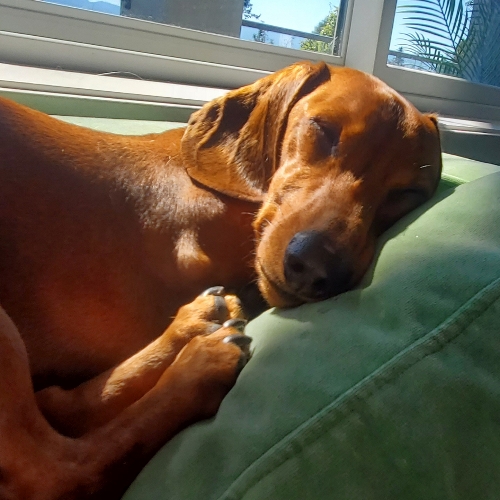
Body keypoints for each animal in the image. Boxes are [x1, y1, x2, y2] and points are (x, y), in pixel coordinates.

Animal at [0, 61, 441, 499]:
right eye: (324, 130)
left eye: (407, 192)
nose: (316, 267)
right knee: (61, 470)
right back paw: (201, 365)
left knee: (58, 405)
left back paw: (194, 326)